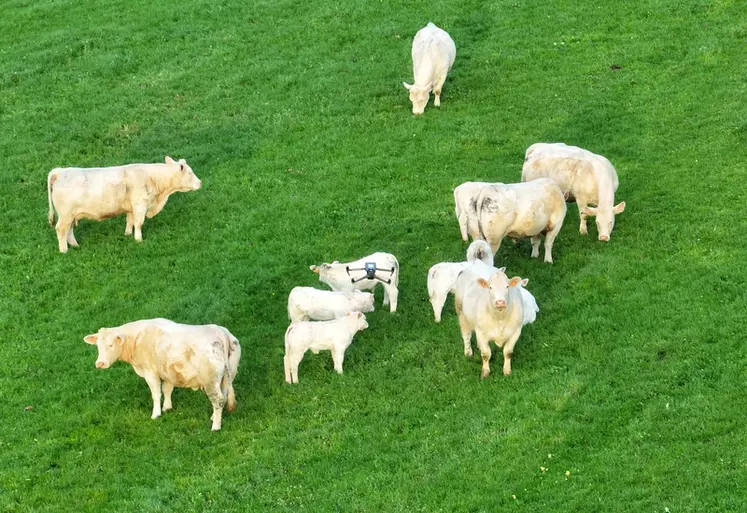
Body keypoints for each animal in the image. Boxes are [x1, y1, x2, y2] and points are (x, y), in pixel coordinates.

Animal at [47, 156, 202, 252]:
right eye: (190, 172)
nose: (200, 182)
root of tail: (60, 171)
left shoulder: (131, 208)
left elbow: (130, 221)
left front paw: (127, 235)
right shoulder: (140, 205)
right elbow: (139, 223)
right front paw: (138, 239)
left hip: (71, 215)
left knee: (69, 230)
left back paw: (75, 245)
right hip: (65, 215)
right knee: (61, 230)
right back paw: (64, 250)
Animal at [86, 318, 241, 430]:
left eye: (111, 345)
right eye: (98, 346)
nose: (100, 363)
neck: (138, 337)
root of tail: (219, 331)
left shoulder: (150, 372)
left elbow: (156, 394)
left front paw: (156, 414)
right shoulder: (167, 371)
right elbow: (167, 389)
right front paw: (167, 407)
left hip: (210, 380)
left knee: (218, 399)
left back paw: (216, 426)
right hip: (228, 375)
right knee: (224, 395)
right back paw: (214, 417)